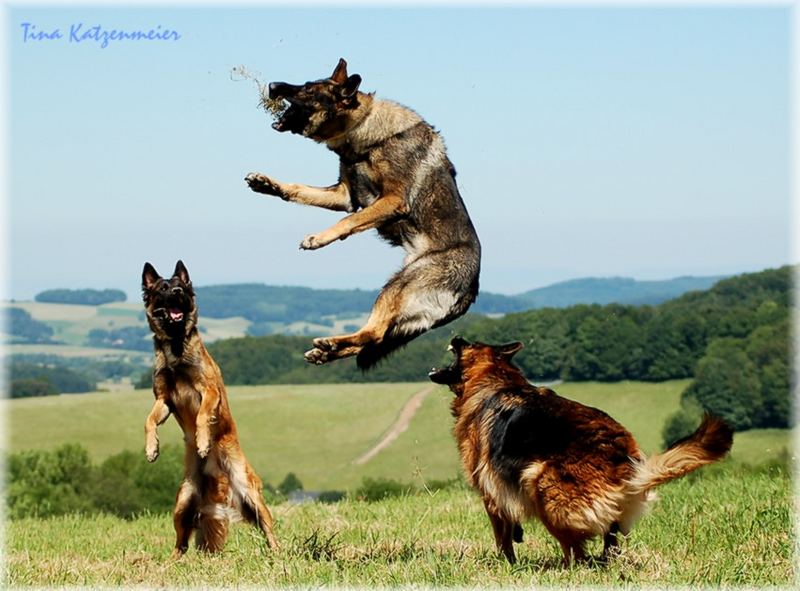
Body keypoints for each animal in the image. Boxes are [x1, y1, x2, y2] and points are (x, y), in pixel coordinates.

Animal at [143, 262, 278, 556]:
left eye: (180, 287)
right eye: (163, 288)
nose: (178, 292)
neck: (176, 348)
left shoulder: (209, 391)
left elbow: (203, 415)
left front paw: (204, 442)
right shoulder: (163, 399)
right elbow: (148, 420)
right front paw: (151, 449)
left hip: (250, 492)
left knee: (269, 529)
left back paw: (278, 553)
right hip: (182, 502)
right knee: (181, 543)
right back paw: (171, 561)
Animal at [244, 56, 482, 370]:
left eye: (308, 90)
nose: (272, 86)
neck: (364, 128)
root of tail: (471, 291)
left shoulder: (392, 200)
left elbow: (349, 219)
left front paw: (318, 239)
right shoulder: (344, 195)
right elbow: (300, 190)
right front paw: (268, 184)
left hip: (402, 284)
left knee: (375, 333)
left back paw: (331, 343)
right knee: (371, 337)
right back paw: (327, 350)